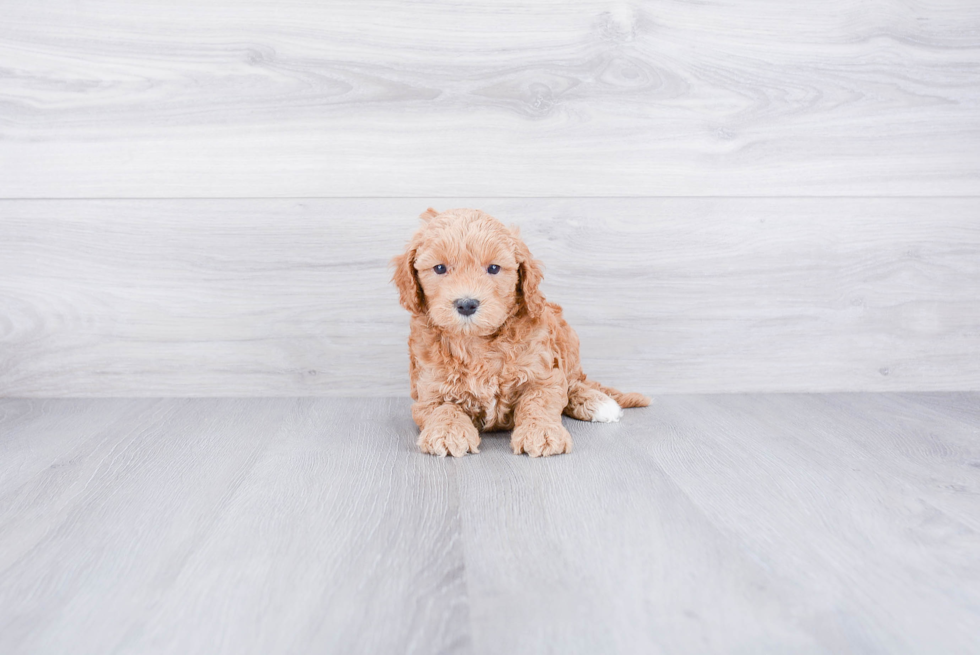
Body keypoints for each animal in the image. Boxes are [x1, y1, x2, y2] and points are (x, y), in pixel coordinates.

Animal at [390, 208, 652, 458]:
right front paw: (447, 433)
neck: (478, 343)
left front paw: (542, 433)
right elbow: (443, 408)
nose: (466, 304)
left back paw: (597, 402)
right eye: (440, 268)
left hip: (566, 339)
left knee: (574, 382)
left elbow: (538, 402)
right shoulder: (429, 389)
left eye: (493, 268)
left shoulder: (543, 374)